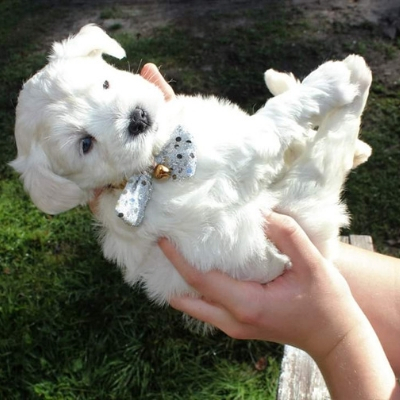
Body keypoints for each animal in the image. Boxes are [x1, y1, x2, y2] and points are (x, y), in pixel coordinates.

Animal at [10, 24, 372, 310]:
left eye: (105, 84)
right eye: (86, 144)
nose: (137, 119)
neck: (160, 155)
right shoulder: (244, 147)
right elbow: (280, 114)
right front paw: (328, 82)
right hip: (310, 195)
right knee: (335, 136)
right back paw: (352, 74)